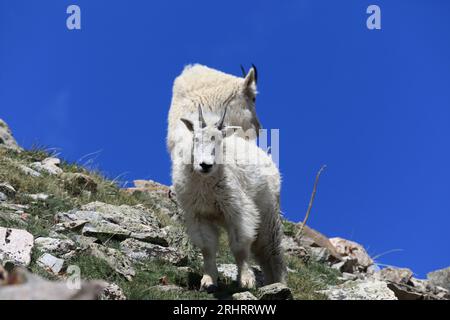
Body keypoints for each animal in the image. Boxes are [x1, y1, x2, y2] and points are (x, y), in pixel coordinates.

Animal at [171, 106, 286, 292]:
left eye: (219, 141)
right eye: (196, 138)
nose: (205, 165)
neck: (206, 183)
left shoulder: (237, 210)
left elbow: (240, 247)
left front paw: (246, 280)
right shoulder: (199, 215)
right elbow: (207, 247)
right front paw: (208, 280)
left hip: (268, 212)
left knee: (271, 248)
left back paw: (279, 283)